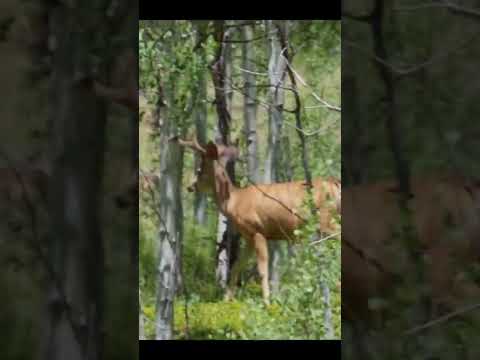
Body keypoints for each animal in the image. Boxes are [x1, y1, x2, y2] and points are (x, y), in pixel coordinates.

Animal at [172, 136, 342, 306]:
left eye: (200, 170)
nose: (190, 186)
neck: (234, 201)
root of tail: (335, 184)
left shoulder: (257, 230)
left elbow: (262, 271)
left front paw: (267, 303)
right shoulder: (248, 237)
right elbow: (236, 267)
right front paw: (226, 300)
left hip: (326, 219)